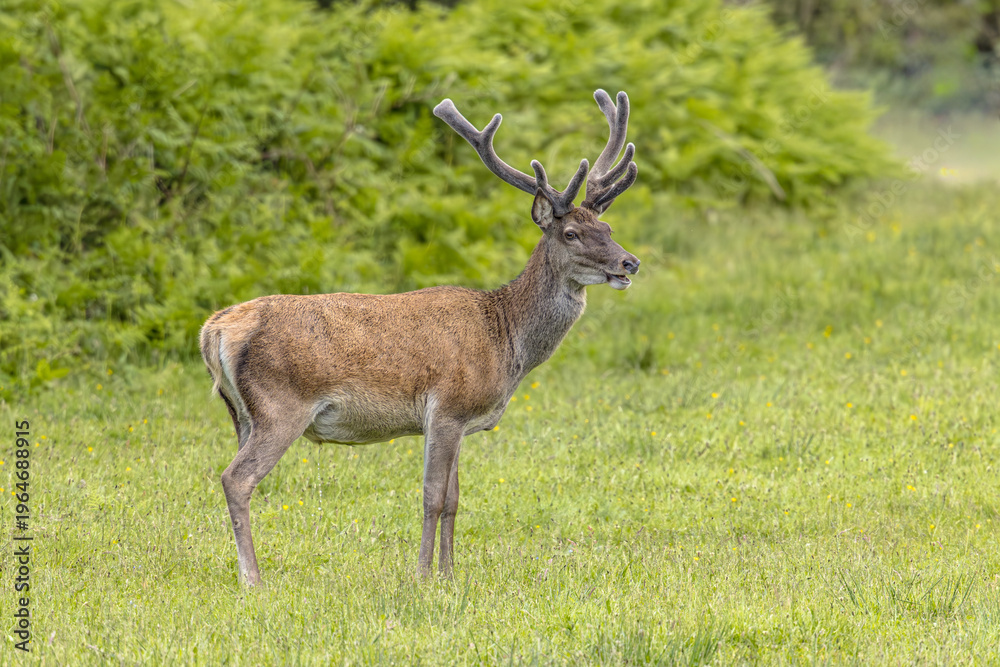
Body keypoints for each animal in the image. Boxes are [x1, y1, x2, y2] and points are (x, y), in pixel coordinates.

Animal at [199, 89, 640, 586]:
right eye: (570, 233)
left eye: (608, 229)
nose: (629, 262)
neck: (505, 337)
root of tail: (214, 329)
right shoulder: (446, 407)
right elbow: (432, 496)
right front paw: (424, 576)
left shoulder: (463, 420)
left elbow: (454, 498)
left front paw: (450, 574)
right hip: (280, 404)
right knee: (236, 478)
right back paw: (253, 580)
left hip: (240, 413)